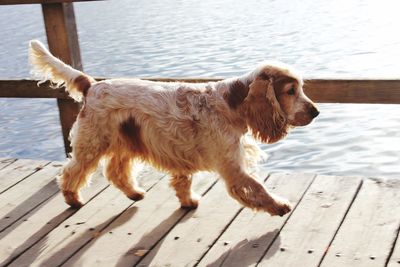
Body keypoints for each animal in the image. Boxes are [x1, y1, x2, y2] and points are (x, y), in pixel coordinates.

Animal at [28, 40, 318, 218]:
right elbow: (257, 186)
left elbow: (183, 181)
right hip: (92, 143)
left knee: (116, 171)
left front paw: (188, 201)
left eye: (300, 88)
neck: (231, 103)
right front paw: (278, 205)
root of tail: (91, 84)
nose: (316, 112)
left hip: (126, 142)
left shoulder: (185, 154)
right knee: (72, 171)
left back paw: (134, 192)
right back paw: (72, 199)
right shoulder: (232, 165)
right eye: (290, 91)